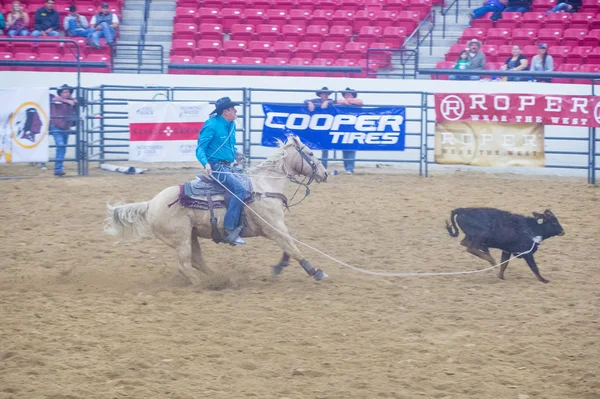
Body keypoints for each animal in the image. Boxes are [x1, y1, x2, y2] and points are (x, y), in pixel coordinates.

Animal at [103, 136, 328, 286]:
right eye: (310, 153)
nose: (325, 173)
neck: (264, 186)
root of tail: (150, 203)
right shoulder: (274, 227)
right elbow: (294, 249)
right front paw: (317, 272)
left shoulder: (276, 229)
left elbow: (288, 249)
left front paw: (280, 267)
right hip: (181, 238)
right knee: (184, 265)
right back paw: (205, 285)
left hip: (191, 235)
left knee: (197, 261)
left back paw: (219, 279)